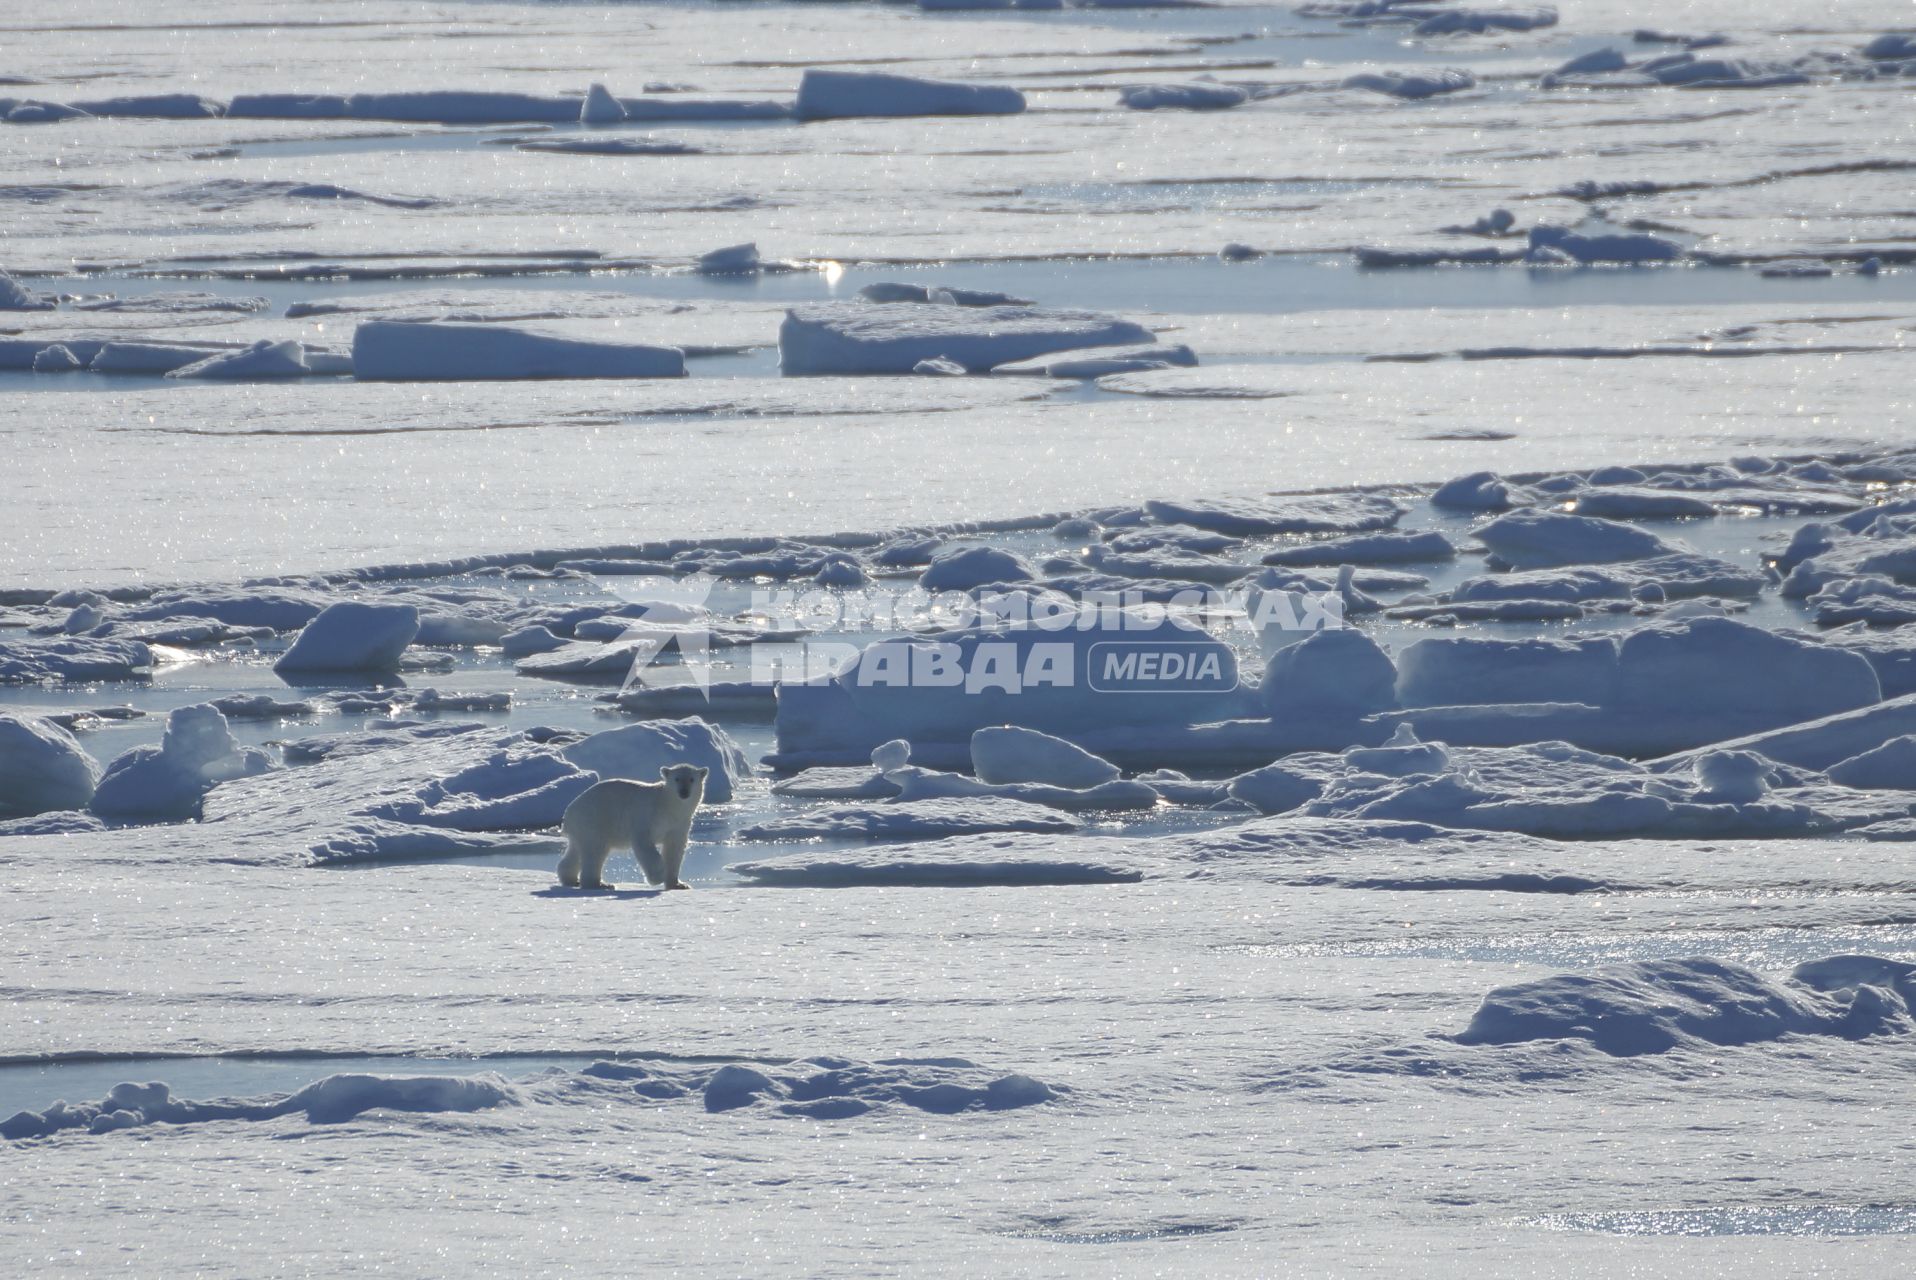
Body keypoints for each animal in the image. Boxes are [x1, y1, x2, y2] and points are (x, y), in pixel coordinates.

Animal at [551, 758, 708, 889]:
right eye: (677, 779)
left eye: (692, 779)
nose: (684, 792)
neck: (667, 805)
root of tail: (569, 811)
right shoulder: (646, 816)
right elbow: (644, 844)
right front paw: (658, 876)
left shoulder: (679, 823)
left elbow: (674, 849)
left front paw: (678, 884)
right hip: (595, 819)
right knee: (595, 851)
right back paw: (599, 884)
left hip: (583, 827)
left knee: (577, 851)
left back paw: (572, 880)